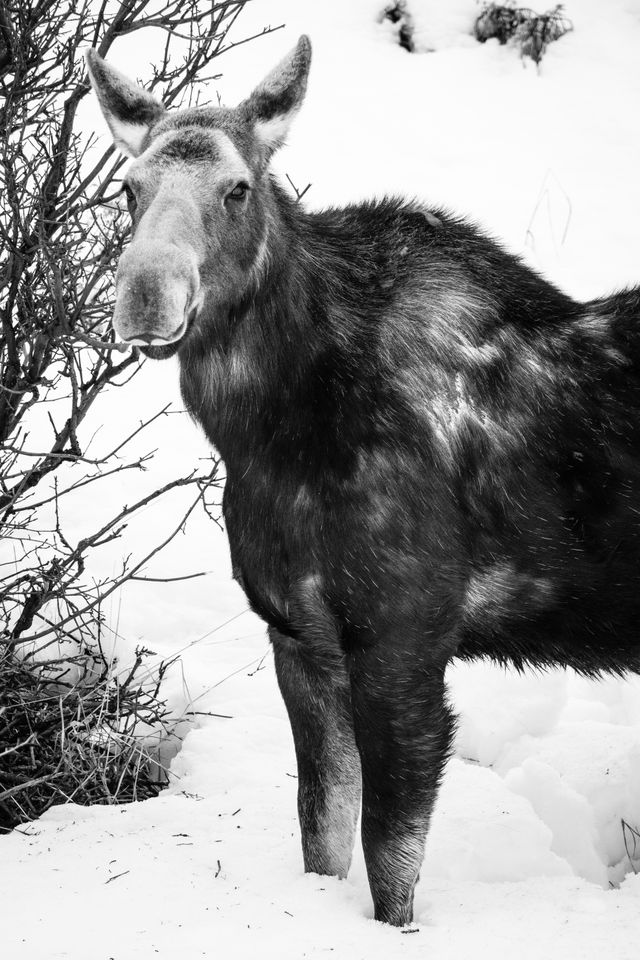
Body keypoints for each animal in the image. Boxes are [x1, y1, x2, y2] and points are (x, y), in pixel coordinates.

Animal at [87, 35, 640, 924]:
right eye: (128, 186)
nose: (145, 293)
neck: (269, 435)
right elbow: (322, 833)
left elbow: (390, 867)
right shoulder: (297, 632)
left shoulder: (403, 638)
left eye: (238, 187)